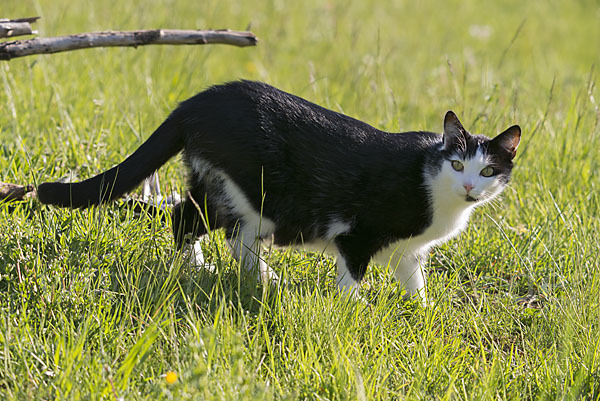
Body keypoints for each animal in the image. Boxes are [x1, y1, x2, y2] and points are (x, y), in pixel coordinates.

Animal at [36, 79, 520, 304]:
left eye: (488, 169)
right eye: (456, 163)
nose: (470, 185)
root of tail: (195, 103)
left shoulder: (408, 251)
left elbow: (414, 282)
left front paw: (422, 313)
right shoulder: (357, 233)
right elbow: (352, 275)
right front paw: (352, 310)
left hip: (214, 179)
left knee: (185, 214)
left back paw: (199, 267)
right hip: (258, 193)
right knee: (234, 235)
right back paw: (265, 279)